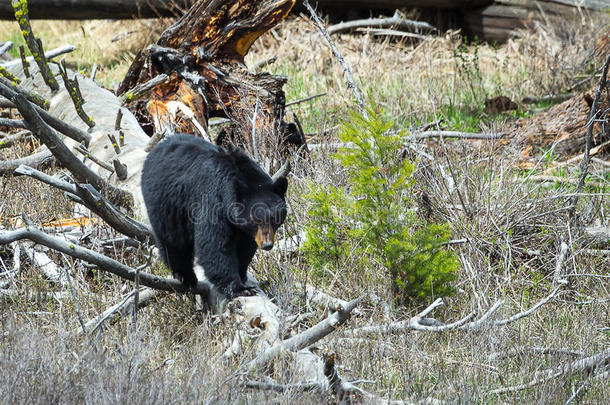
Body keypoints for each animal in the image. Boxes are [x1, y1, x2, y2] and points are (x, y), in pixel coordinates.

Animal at [140, 135, 288, 296]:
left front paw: (242, 274)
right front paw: (239, 288)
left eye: (274, 219)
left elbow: (245, 246)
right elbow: (214, 243)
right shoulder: (212, 198)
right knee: (172, 239)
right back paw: (185, 275)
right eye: (255, 220)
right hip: (165, 202)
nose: (267, 245)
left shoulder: (245, 229)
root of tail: (155, 149)